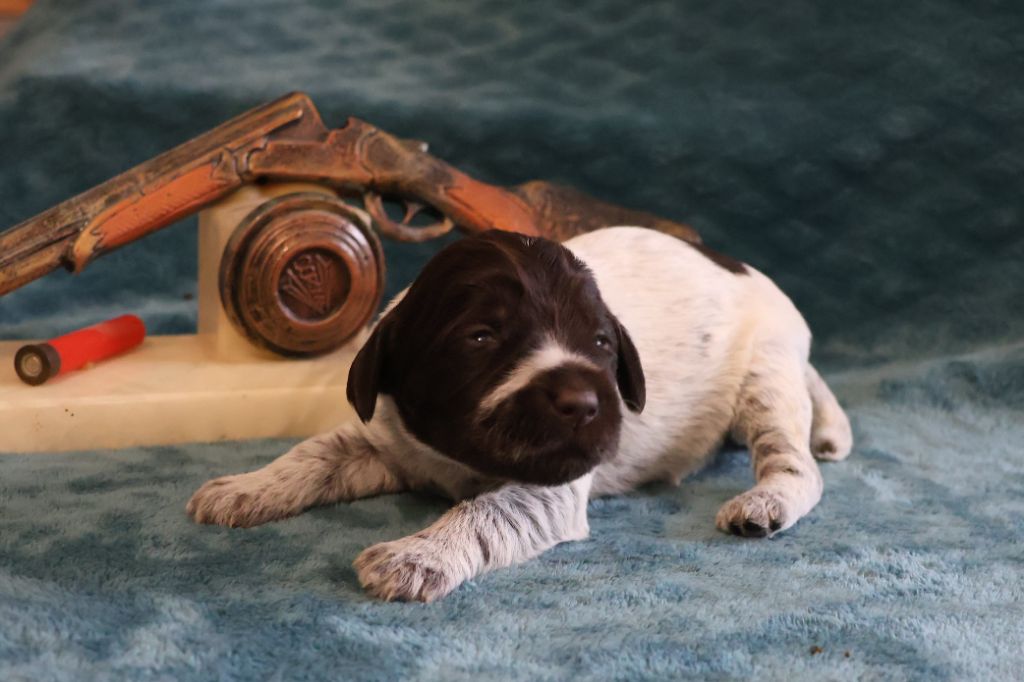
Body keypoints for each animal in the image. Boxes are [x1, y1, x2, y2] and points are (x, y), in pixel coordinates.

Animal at [186, 227, 856, 602]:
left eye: (601, 344)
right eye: (481, 338)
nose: (585, 403)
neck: (457, 458)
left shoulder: (551, 484)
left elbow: (484, 511)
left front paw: (418, 556)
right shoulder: (385, 441)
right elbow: (314, 454)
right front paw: (246, 487)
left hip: (766, 373)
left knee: (797, 465)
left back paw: (765, 502)